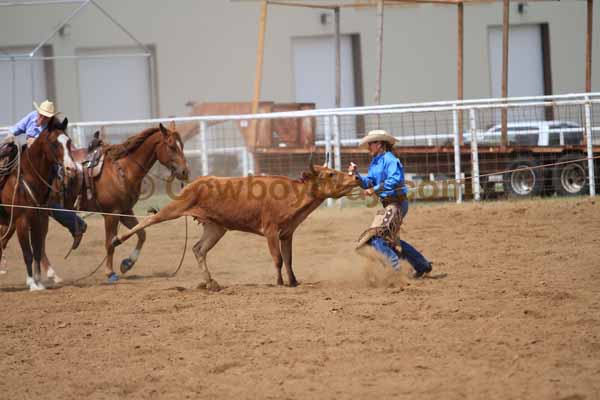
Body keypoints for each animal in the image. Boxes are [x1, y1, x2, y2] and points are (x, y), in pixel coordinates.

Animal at [0, 118, 77, 290]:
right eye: (54, 143)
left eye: (69, 142)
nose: (71, 168)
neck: (28, 177)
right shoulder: (22, 221)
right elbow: (27, 253)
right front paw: (32, 283)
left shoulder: (39, 219)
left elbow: (36, 250)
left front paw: (39, 282)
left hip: (8, 224)